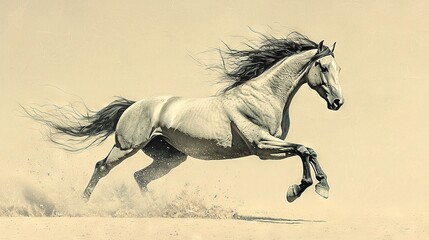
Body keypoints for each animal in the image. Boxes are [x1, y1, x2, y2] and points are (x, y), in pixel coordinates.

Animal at [25, 32, 342, 202]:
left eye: (338, 68)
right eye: (324, 67)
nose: (338, 102)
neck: (261, 95)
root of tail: (132, 106)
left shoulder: (267, 147)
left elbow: (307, 150)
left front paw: (315, 187)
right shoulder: (261, 146)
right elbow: (304, 149)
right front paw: (304, 189)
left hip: (171, 157)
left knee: (140, 177)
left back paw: (153, 210)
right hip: (127, 147)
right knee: (102, 167)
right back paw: (82, 203)